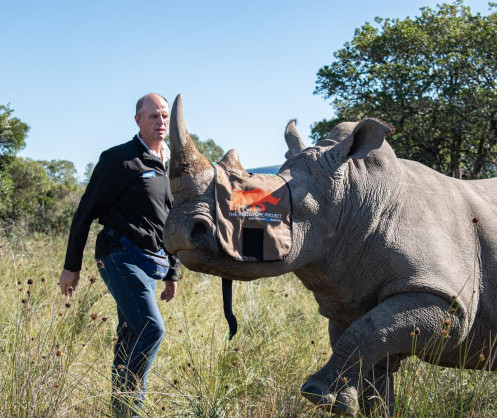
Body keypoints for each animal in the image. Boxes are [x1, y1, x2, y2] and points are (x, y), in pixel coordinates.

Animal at [163, 94, 497, 415]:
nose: (179, 228)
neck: (353, 197)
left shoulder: (446, 299)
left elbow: (368, 333)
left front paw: (319, 397)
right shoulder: (348, 294)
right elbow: (370, 356)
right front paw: (352, 407)